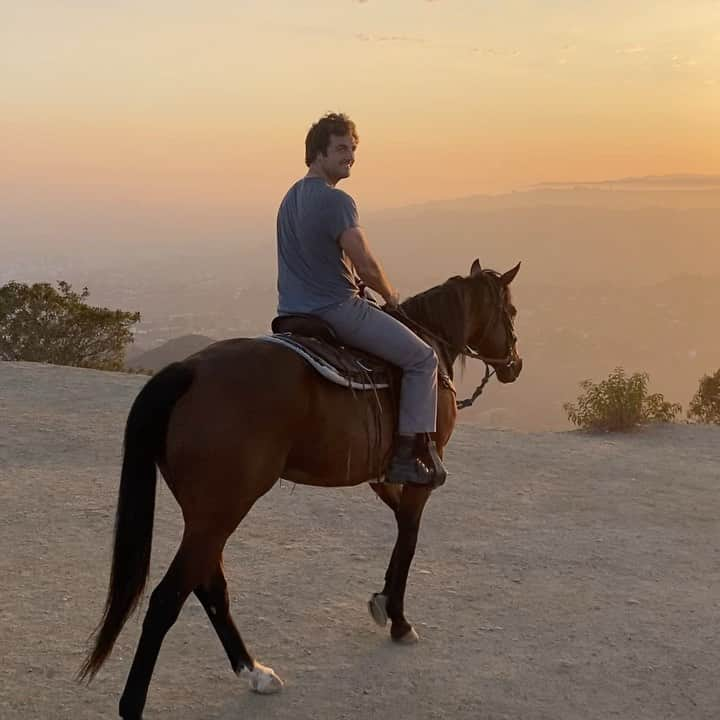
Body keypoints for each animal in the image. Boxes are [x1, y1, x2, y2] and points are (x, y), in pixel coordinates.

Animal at [79, 258, 524, 720]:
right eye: (511, 311)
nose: (515, 364)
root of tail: (189, 370)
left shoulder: (381, 477)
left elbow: (402, 528)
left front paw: (383, 601)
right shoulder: (422, 476)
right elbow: (410, 540)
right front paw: (399, 619)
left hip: (207, 514)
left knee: (208, 584)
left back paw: (253, 670)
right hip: (221, 511)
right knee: (168, 598)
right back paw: (134, 704)